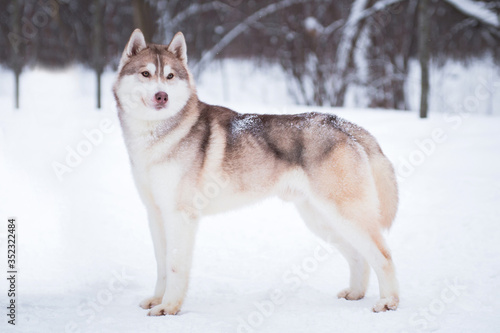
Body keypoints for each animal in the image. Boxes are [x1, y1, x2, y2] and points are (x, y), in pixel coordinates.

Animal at [113, 29, 398, 316]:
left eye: (170, 76)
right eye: (145, 73)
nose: (162, 96)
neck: (156, 137)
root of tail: (342, 124)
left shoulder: (180, 216)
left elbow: (174, 267)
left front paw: (169, 307)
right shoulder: (156, 214)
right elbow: (161, 264)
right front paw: (157, 299)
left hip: (345, 215)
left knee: (383, 256)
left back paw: (389, 302)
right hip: (322, 220)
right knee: (359, 256)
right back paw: (355, 294)